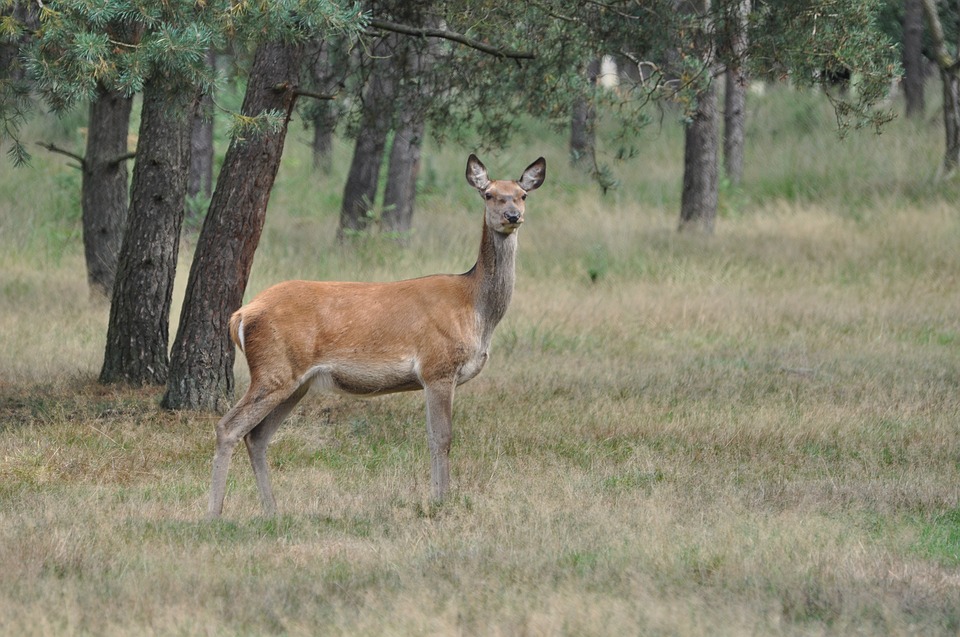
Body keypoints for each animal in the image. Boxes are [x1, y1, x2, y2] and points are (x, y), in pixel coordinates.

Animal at [205, 154, 544, 516]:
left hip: (297, 381)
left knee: (257, 436)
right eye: (489, 194)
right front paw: (440, 502)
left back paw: (273, 510)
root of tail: (241, 314)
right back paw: (214, 513)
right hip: (274, 369)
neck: (475, 307)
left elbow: (436, 437)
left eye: (522, 194)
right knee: (228, 427)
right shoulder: (437, 367)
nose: (512, 216)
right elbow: (441, 438)